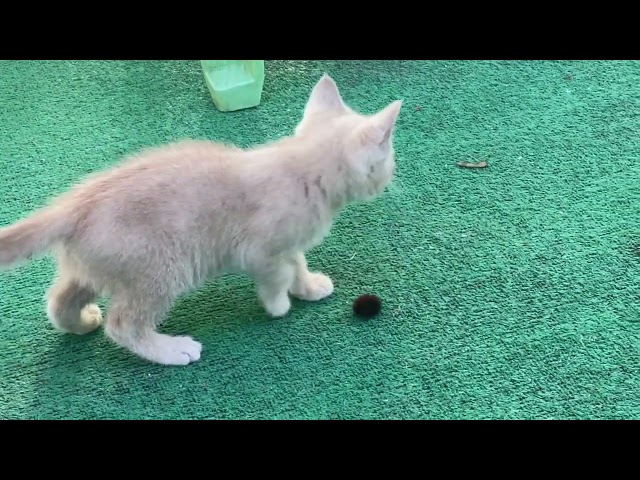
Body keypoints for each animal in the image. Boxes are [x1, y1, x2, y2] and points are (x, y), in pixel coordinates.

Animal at [0, 75, 400, 366]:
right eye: (390, 158)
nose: (391, 177)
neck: (303, 170)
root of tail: (75, 204)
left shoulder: (287, 244)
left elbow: (296, 262)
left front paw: (308, 286)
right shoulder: (259, 251)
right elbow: (277, 276)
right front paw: (279, 305)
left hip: (97, 267)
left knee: (59, 299)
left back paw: (81, 323)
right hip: (162, 268)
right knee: (123, 324)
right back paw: (171, 350)